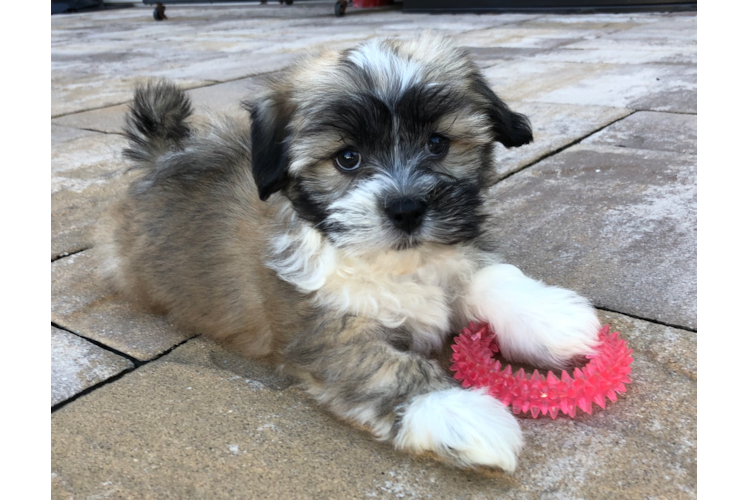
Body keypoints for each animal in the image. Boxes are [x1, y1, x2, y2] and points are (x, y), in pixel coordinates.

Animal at [96, 35, 600, 472]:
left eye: (437, 143)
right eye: (347, 158)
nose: (406, 208)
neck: (396, 262)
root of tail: (161, 159)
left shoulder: (452, 253)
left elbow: (487, 275)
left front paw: (551, 318)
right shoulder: (324, 332)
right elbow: (386, 368)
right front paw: (455, 411)